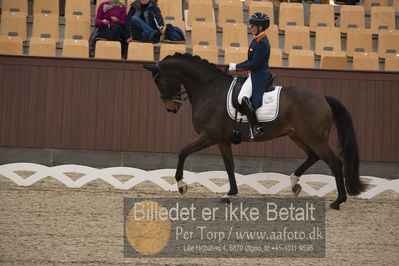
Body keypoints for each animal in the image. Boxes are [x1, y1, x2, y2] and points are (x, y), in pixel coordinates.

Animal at [144, 52, 366, 210]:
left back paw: (338, 201)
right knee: (313, 157)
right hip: (299, 136)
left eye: (162, 81)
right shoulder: (222, 140)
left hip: (314, 138)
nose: (171, 108)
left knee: (335, 163)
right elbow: (229, 165)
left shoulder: (209, 136)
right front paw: (229, 194)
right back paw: (295, 183)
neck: (209, 90)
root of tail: (323, 97)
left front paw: (181, 185)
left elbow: (183, 152)